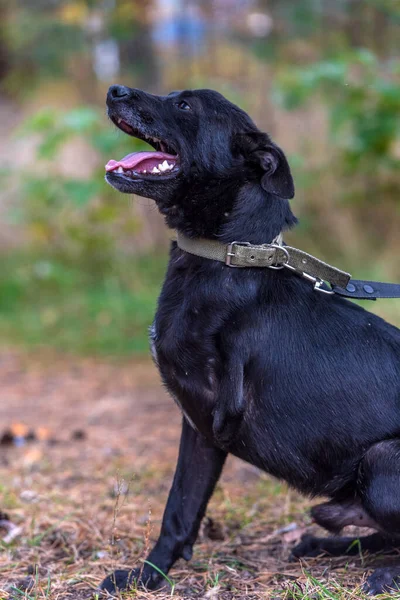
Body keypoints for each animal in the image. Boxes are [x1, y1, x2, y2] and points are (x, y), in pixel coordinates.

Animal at [101, 85, 400, 596]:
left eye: (185, 105)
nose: (114, 90)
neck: (228, 256)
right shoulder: (197, 427)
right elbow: (179, 510)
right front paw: (148, 577)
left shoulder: (213, 416)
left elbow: (180, 502)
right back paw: (326, 545)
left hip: (382, 460)